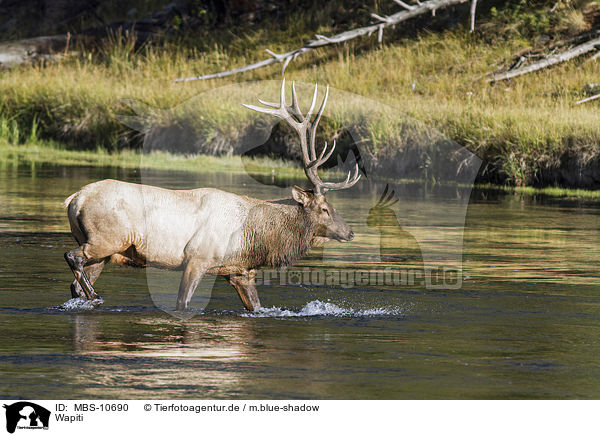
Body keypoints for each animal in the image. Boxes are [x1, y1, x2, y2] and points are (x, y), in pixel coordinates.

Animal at [63, 80, 360, 312]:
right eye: (325, 208)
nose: (350, 232)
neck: (255, 238)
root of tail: (75, 199)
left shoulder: (240, 272)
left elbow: (257, 307)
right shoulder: (197, 258)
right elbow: (182, 303)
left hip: (105, 250)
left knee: (75, 284)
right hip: (107, 238)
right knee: (72, 257)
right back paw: (96, 297)